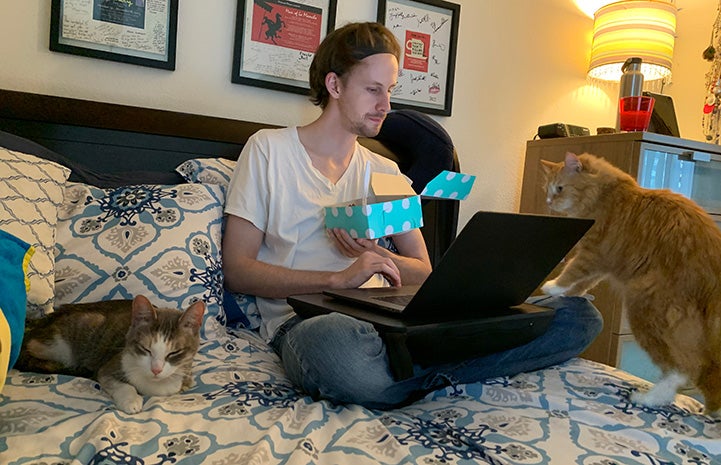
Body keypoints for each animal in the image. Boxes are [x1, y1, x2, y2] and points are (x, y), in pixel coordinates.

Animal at [17, 294, 202, 414]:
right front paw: (131, 401)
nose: (156, 369)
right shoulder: (111, 364)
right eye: (146, 349)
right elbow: (120, 383)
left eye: (174, 353)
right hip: (69, 338)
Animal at [540, 150, 720, 416]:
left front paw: (553, 286)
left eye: (560, 188)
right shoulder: (602, 263)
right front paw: (570, 294)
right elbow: (584, 282)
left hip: (644, 307)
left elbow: (572, 270)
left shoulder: (593, 253)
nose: (549, 202)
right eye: (548, 189)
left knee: (681, 369)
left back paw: (648, 399)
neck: (605, 194)